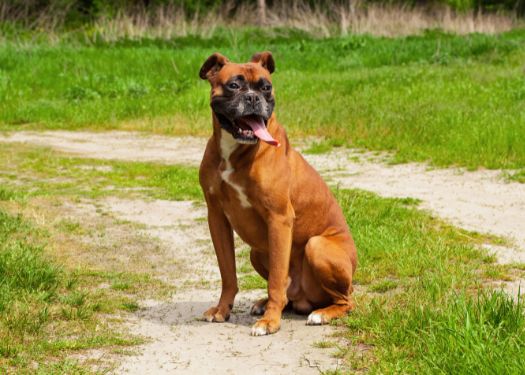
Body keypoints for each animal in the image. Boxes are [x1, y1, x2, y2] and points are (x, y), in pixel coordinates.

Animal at [199, 51, 358, 336]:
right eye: (234, 85)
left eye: (266, 87)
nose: (254, 98)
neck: (236, 150)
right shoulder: (216, 217)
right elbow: (227, 273)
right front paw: (222, 309)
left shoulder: (279, 219)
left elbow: (275, 279)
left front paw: (270, 322)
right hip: (256, 251)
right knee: (287, 295)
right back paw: (267, 304)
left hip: (317, 246)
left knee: (345, 300)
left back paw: (321, 313)